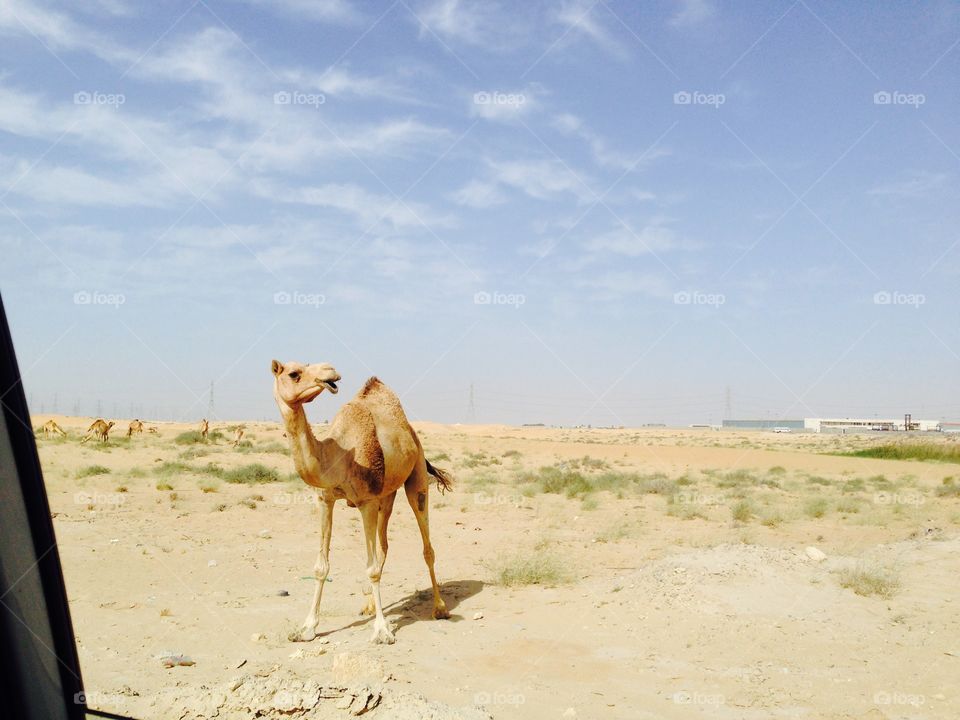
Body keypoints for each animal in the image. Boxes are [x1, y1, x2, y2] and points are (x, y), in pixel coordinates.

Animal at [271, 359, 453, 645]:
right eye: (294, 373)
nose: (330, 371)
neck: (339, 456)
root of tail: (412, 433)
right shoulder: (325, 500)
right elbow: (322, 566)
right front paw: (307, 628)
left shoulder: (366, 501)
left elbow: (372, 568)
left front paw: (382, 631)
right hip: (386, 495)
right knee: (384, 545)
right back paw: (368, 605)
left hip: (416, 478)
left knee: (426, 547)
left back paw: (440, 608)